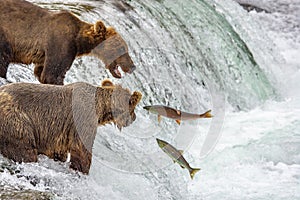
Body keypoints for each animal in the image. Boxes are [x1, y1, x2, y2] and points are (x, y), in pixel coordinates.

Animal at [0, 0, 136, 84]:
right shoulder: (61, 43)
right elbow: (52, 74)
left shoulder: (44, 56)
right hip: (5, 36)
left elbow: (40, 71)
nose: (132, 66)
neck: (79, 41)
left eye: (126, 48)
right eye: (122, 48)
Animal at [0, 80, 142, 174]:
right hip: (17, 120)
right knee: (25, 148)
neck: (100, 107)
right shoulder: (83, 118)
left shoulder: (58, 135)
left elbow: (58, 151)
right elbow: (81, 149)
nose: (134, 118)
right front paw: (82, 170)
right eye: (133, 108)